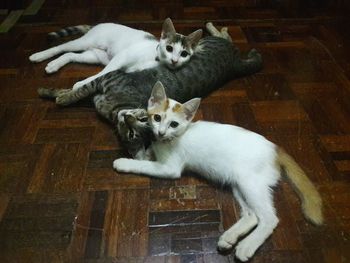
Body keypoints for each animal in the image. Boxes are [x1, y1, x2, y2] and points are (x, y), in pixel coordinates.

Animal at [30, 18, 202, 91]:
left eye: (184, 53)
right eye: (169, 48)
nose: (174, 60)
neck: (155, 59)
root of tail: (97, 24)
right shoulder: (123, 56)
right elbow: (103, 73)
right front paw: (82, 84)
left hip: (96, 56)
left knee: (70, 54)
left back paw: (54, 65)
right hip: (87, 42)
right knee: (62, 47)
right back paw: (39, 55)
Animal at [113, 82, 324, 262]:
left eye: (174, 124)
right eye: (156, 118)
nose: (161, 132)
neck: (172, 138)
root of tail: (276, 148)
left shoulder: (170, 168)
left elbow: (143, 165)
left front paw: (124, 162)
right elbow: (145, 156)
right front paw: (140, 147)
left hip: (251, 183)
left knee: (269, 218)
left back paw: (246, 246)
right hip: (239, 183)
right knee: (252, 215)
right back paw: (229, 238)